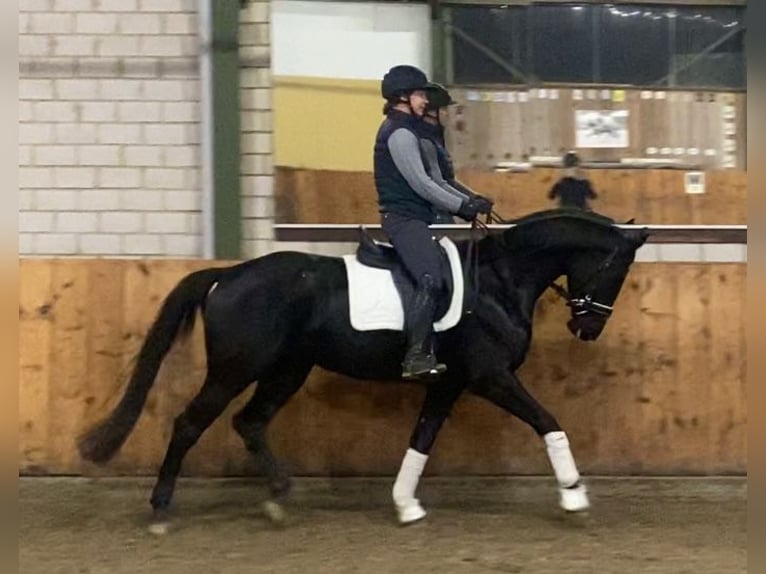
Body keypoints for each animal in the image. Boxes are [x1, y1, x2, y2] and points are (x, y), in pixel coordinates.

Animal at [81, 210, 652, 532]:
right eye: (615, 271)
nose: (587, 328)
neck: (498, 282)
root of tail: (227, 276)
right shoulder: (491, 378)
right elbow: (548, 422)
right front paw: (574, 496)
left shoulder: (449, 383)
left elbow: (421, 440)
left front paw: (405, 506)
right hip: (234, 370)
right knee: (189, 424)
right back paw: (161, 510)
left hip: (287, 370)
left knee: (250, 422)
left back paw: (280, 498)